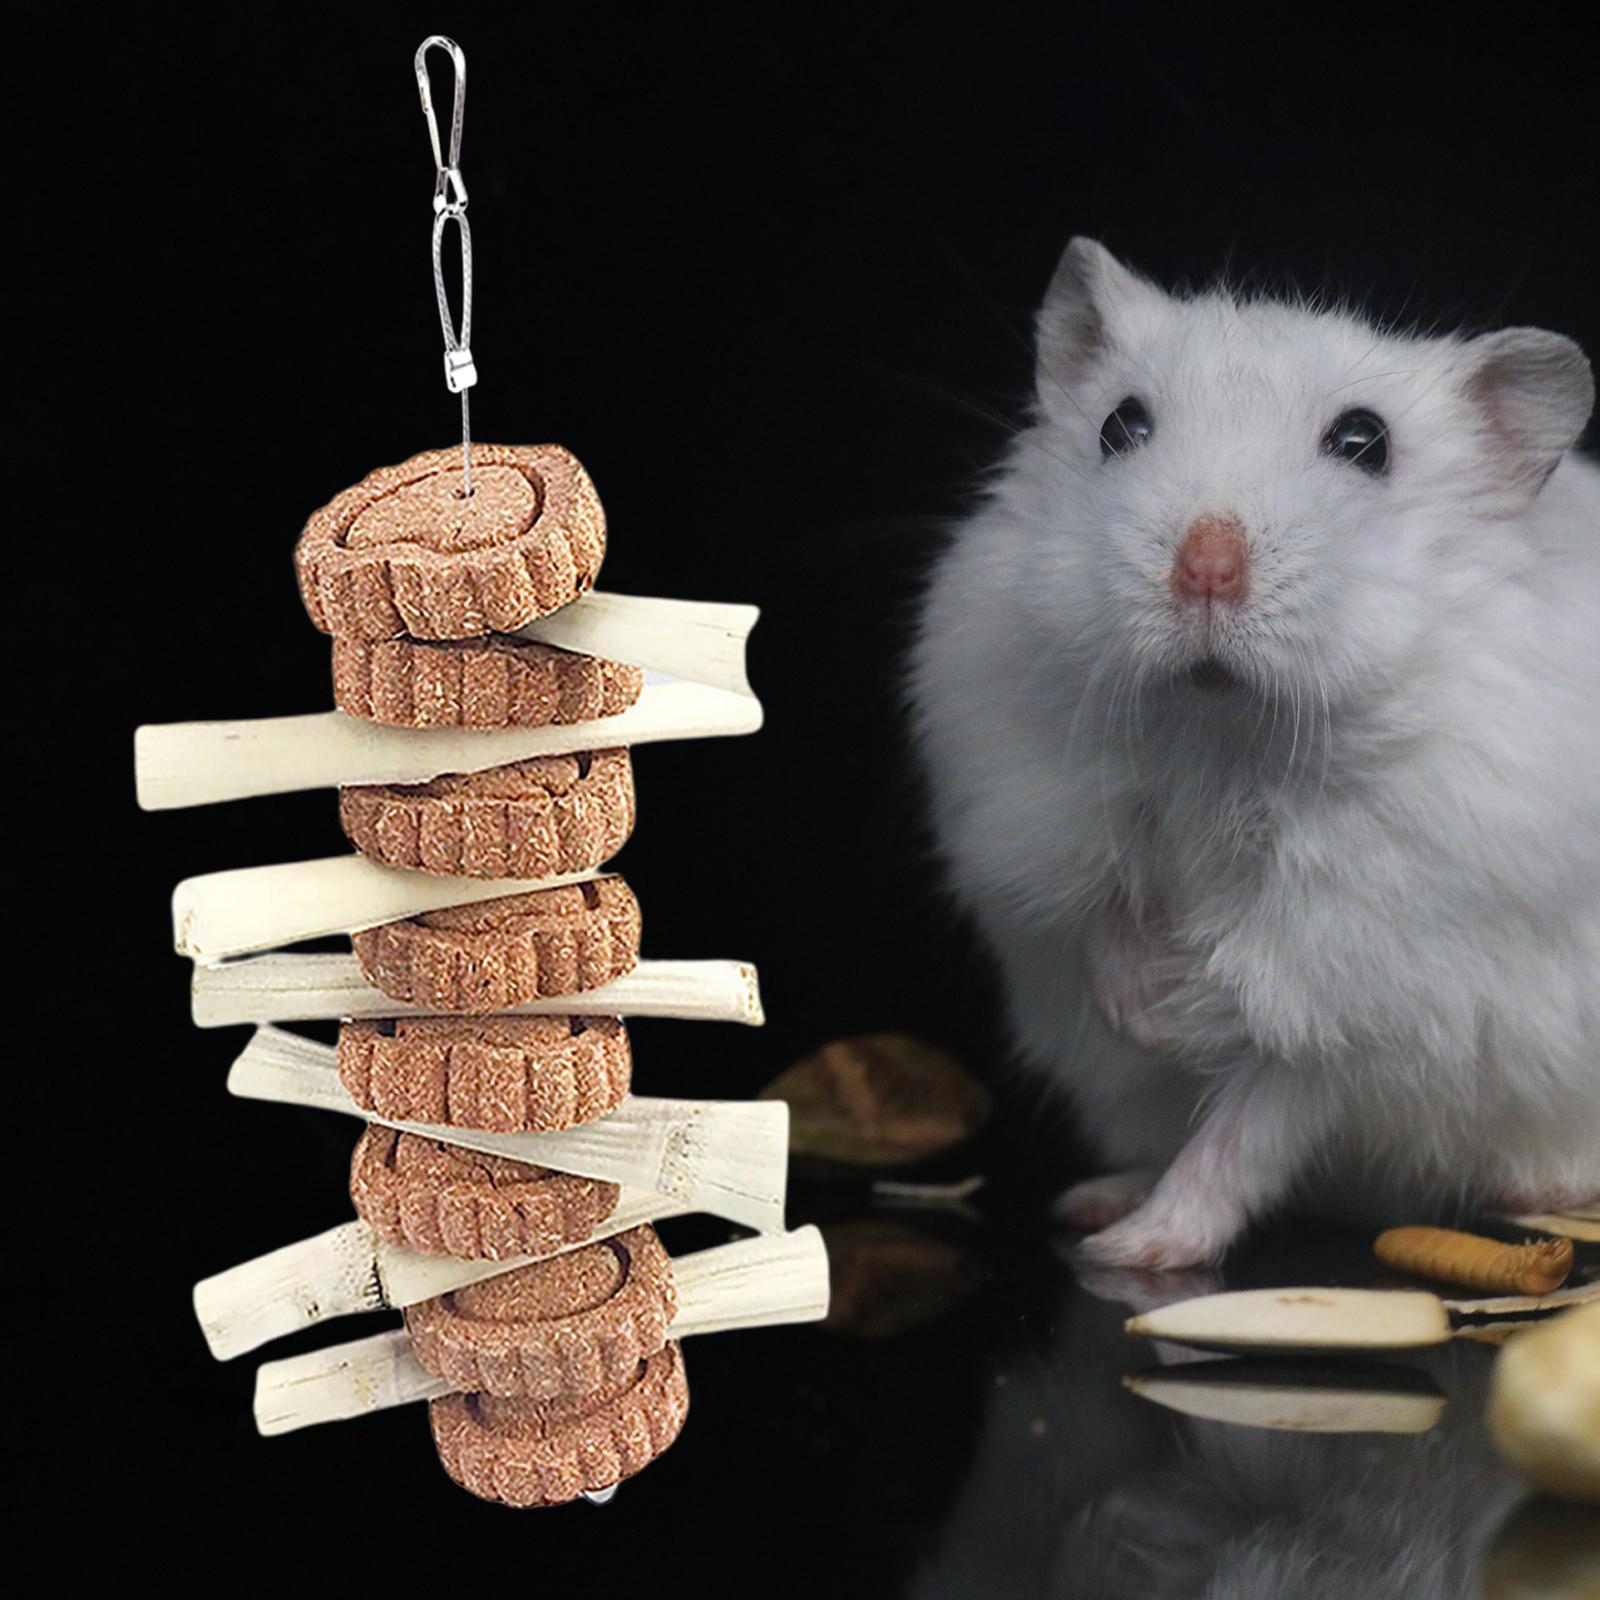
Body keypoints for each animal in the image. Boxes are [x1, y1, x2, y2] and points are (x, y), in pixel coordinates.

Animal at [909, 237, 1600, 1268]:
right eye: (1121, 424)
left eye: (1365, 442)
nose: (1204, 567)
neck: (1222, 735)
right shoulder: (1035, 802)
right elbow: (1099, 904)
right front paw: (1152, 1015)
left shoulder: (1357, 994)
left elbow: (1252, 1130)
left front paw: (1143, 1252)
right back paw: (1095, 1199)